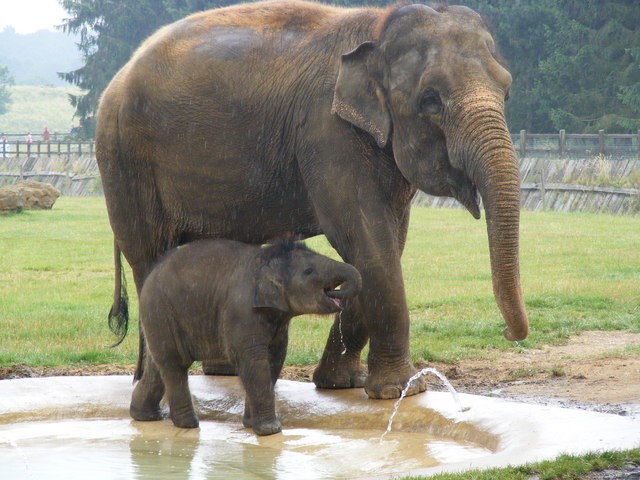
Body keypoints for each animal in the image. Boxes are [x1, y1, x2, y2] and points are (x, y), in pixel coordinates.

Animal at [96, 0, 528, 400]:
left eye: (507, 92)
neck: (378, 25)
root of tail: (121, 72)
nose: (510, 333)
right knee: (150, 257)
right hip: (125, 161)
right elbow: (366, 238)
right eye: (431, 100)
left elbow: (389, 241)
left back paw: (220, 372)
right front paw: (401, 391)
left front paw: (343, 383)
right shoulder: (327, 132)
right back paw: (156, 382)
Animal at [131, 239, 360, 436]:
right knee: (174, 365)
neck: (267, 259)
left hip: (159, 319)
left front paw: (251, 425)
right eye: (309, 271)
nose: (338, 295)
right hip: (160, 311)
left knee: (159, 365)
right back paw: (188, 424)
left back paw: (145, 416)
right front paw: (270, 430)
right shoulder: (242, 312)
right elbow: (253, 361)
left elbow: (274, 361)